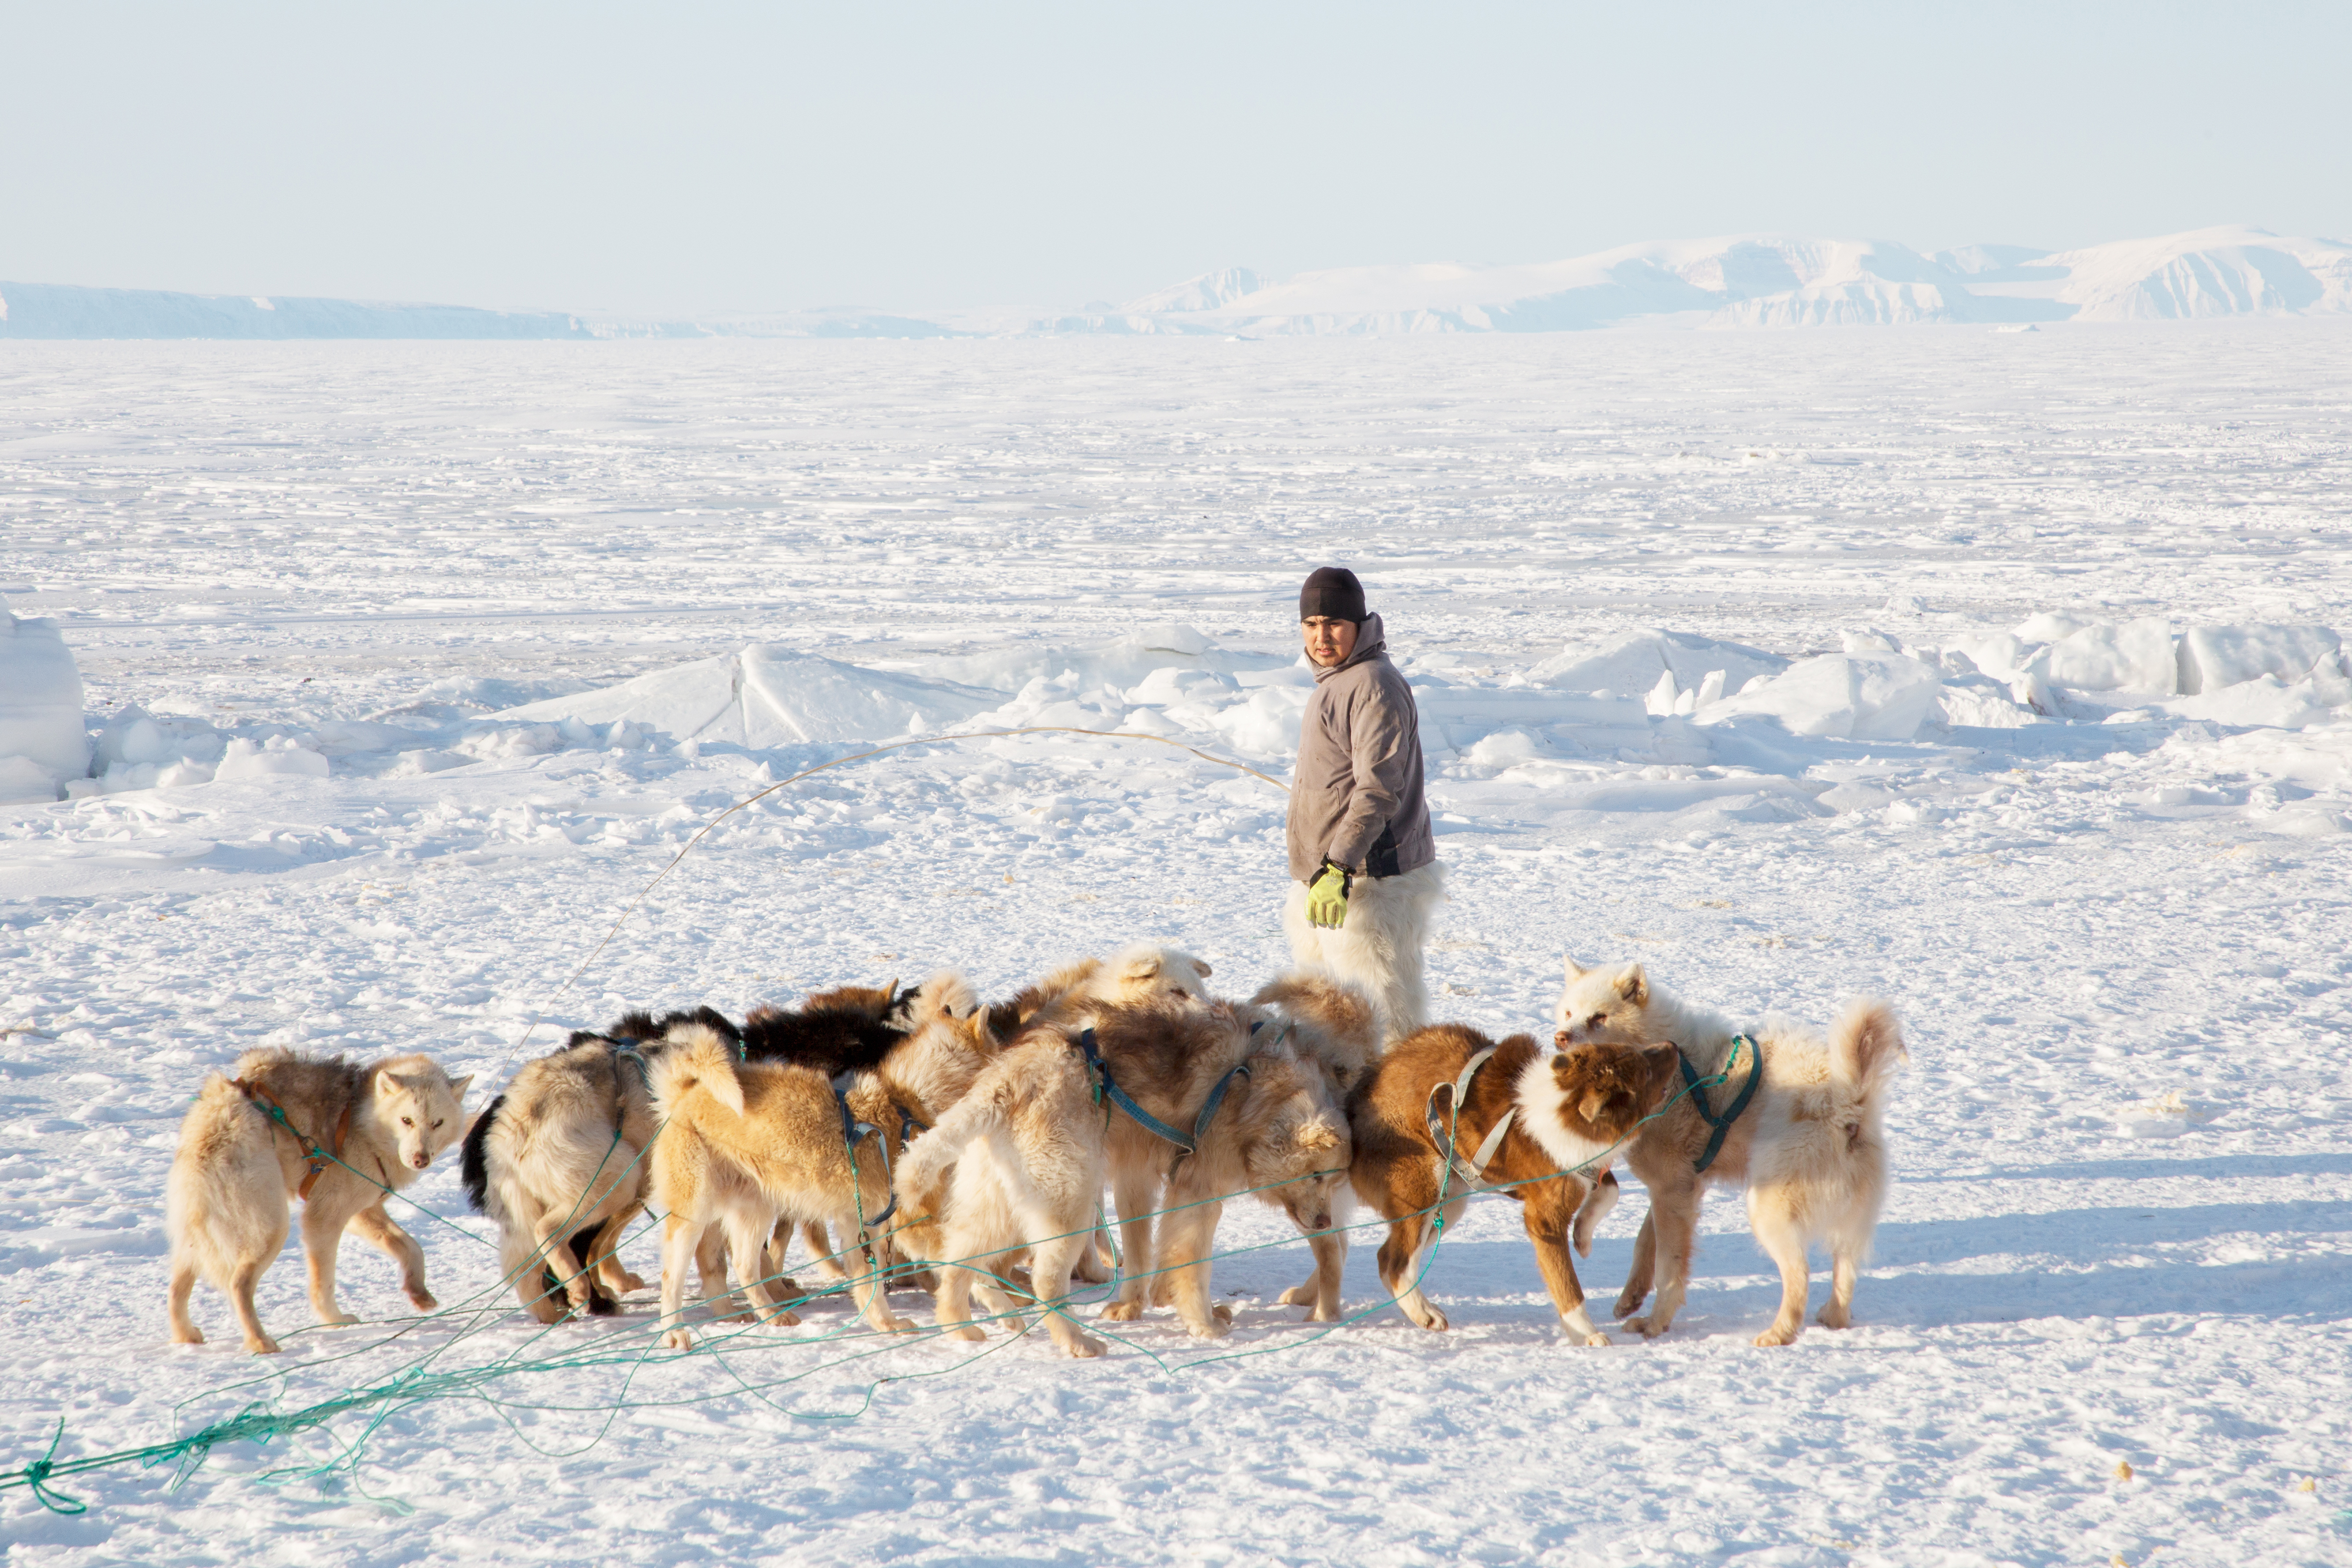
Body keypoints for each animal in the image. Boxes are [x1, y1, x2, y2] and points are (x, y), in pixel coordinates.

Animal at [167, 1053, 472, 1363]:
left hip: (195, 1238)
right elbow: (323, 1284)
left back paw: (186, 1335)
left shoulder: (362, 1213)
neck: (364, 1119)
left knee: (176, 1289)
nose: (421, 1159)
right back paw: (260, 1342)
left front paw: (418, 1292)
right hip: (273, 1229)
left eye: (437, 1123)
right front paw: (334, 1320)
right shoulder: (326, 1217)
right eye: (407, 1120)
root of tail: (221, 1112)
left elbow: (412, 1248)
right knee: (238, 1285)